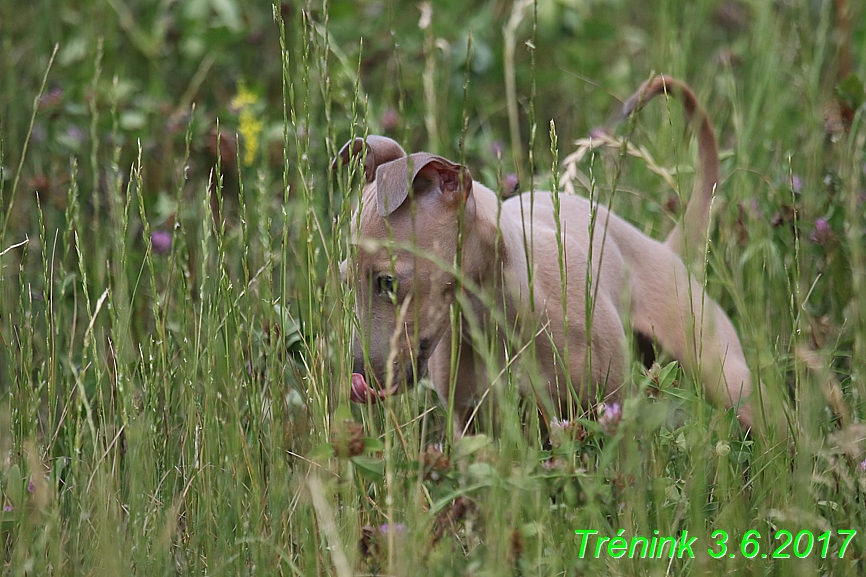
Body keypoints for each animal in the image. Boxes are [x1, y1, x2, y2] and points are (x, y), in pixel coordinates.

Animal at [334, 75, 752, 432]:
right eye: (345, 281)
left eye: (387, 282)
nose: (358, 379)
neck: (495, 317)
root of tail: (665, 250)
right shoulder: (473, 426)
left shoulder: (610, 411)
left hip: (728, 379)